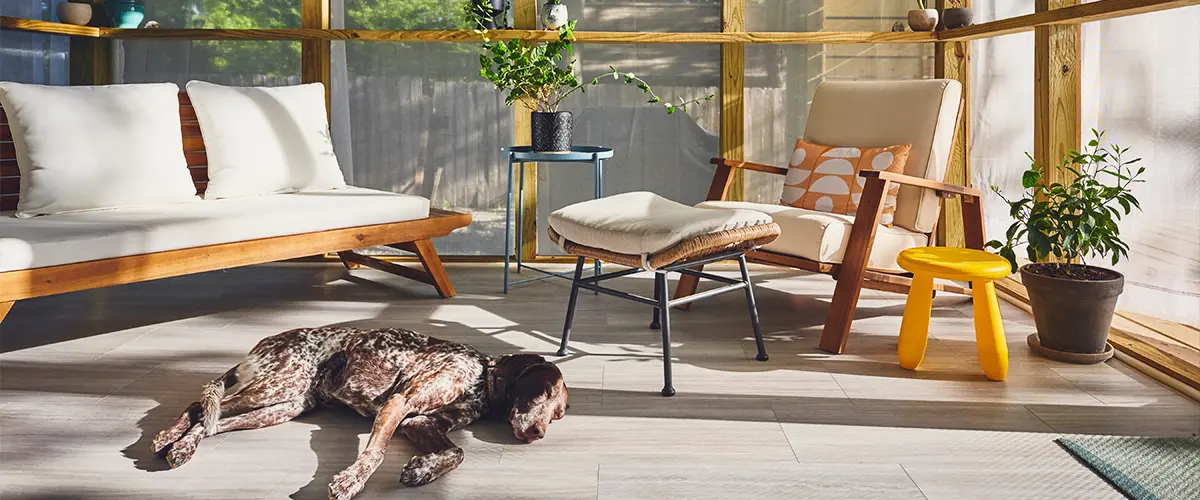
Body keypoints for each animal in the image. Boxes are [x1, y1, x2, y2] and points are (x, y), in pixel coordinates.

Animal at [151, 326, 571, 496]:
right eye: (542, 390)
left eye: (559, 413)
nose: (538, 433)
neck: (481, 376)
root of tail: (262, 343)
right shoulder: (399, 405)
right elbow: (375, 453)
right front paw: (351, 481)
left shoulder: (418, 421)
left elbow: (456, 452)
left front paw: (422, 470)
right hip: (279, 384)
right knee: (200, 403)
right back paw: (172, 440)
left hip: (284, 405)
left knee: (214, 420)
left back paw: (182, 445)